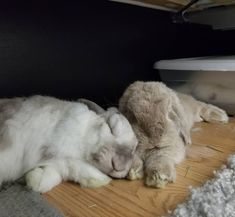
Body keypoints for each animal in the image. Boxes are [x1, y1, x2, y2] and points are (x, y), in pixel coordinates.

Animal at [0, 96, 138, 192]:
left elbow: (55, 174)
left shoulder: (53, 160)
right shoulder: (56, 149)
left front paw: (34, 178)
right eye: (110, 127)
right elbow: (71, 164)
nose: (118, 166)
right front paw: (100, 179)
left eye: (134, 149)